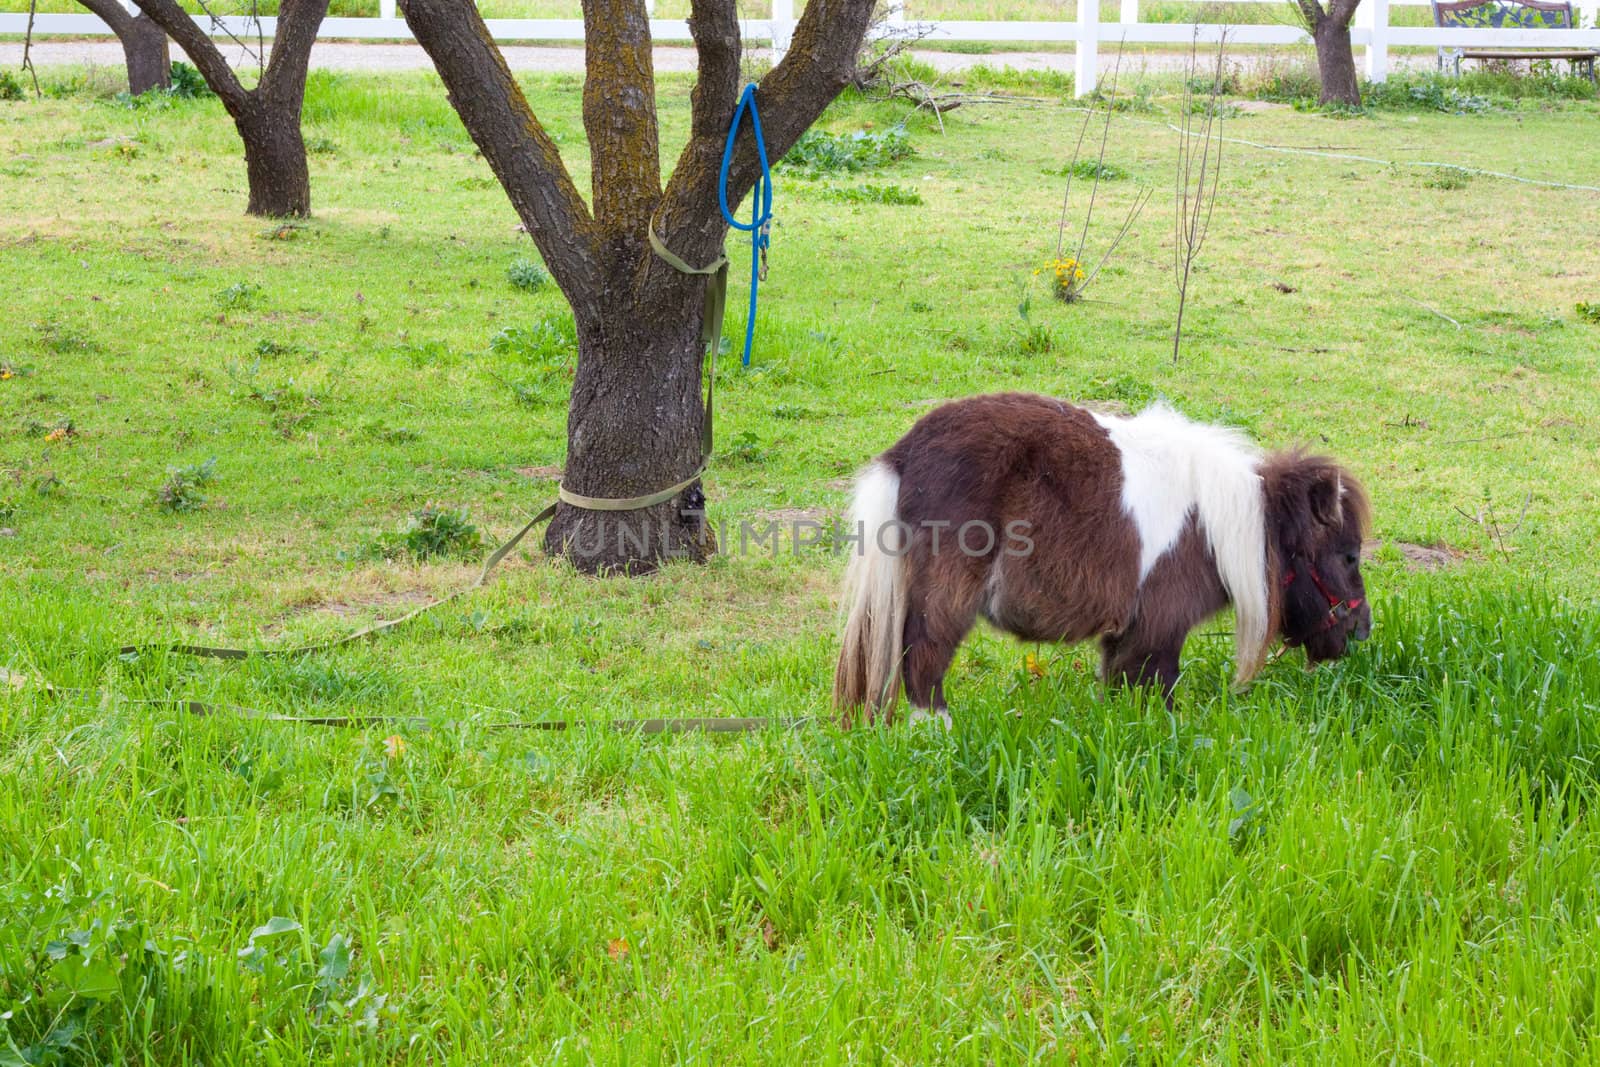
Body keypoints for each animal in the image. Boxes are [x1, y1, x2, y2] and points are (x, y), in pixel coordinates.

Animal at [832, 391, 1369, 726]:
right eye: (1348, 556)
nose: (1361, 631)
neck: (1214, 525)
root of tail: (904, 454)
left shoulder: (1126, 637)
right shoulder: (1157, 633)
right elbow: (1156, 698)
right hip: (946, 598)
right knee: (923, 663)